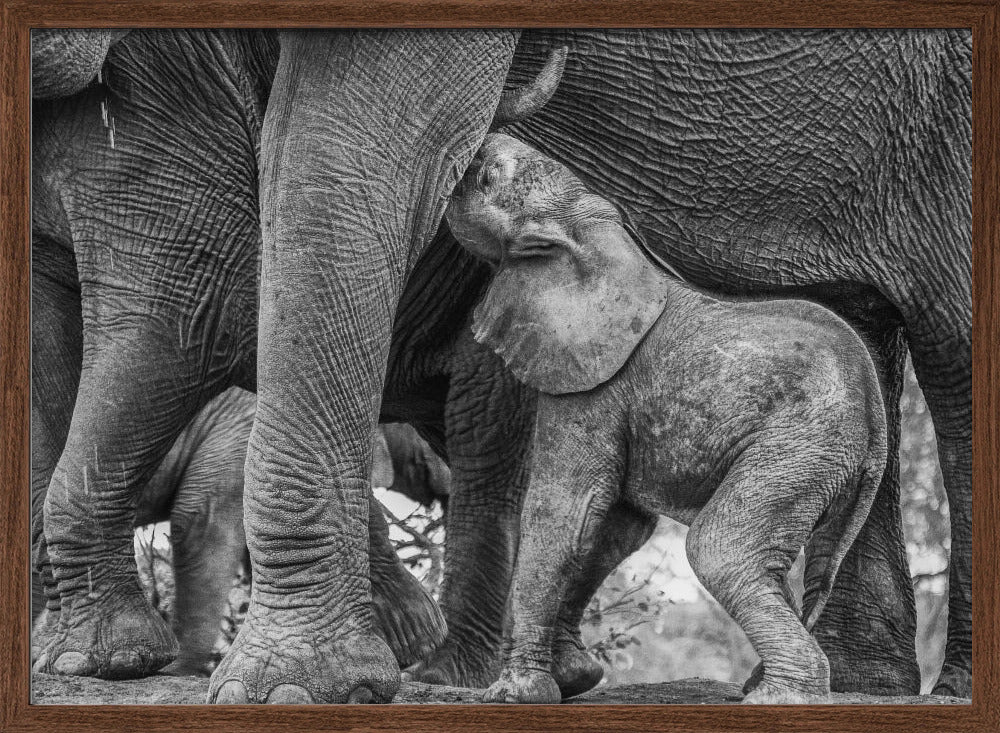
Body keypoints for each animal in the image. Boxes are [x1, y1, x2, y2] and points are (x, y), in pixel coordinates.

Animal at [446, 133, 889, 705]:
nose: (481, 142)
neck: (596, 230)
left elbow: (565, 512)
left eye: (489, 175)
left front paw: (515, 694)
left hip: (799, 448)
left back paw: (777, 698)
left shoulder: (596, 383)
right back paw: (760, 687)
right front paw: (574, 679)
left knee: (720, 548)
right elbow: (615, 526)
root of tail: (876, 419)